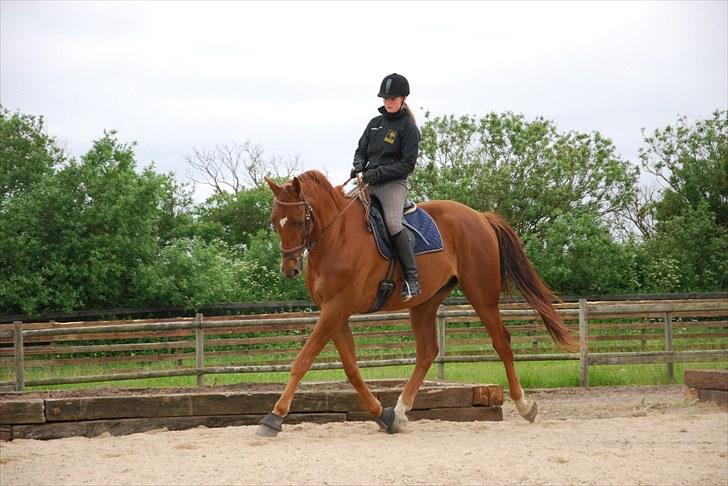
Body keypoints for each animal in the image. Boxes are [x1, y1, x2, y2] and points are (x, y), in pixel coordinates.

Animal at [258, 171, 576, 436]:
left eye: (299, 220)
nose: (289, 269)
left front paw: (274, 417)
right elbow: (351, 369)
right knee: (427, 352)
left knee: (501, 342)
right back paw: (399, 412)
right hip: (426, 301)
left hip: (481, 294)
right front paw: (383, 415)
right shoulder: (334, 312)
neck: (337, 237)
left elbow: (303, 361)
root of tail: (479, 216)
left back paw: (524, 406)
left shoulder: (336, 308)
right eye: (275, 222)